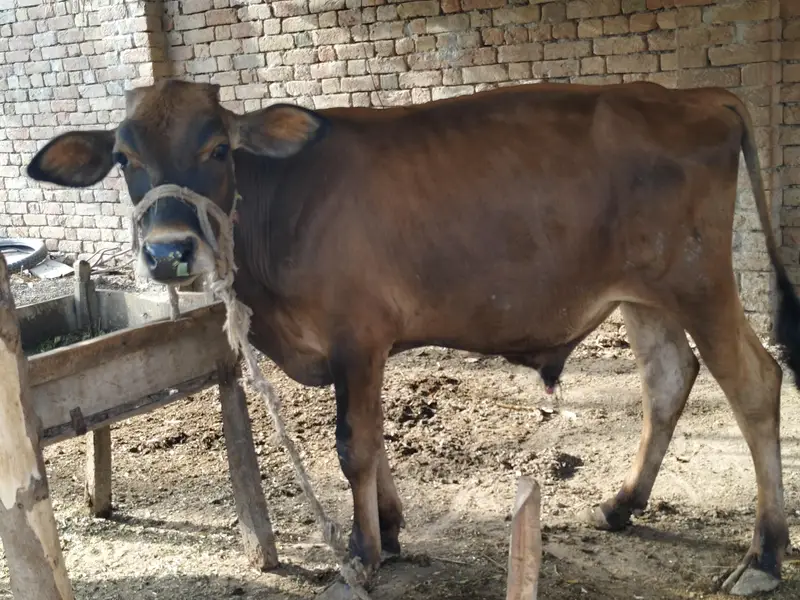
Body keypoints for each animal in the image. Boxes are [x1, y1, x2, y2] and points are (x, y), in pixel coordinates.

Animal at [26, 78, 800, 596]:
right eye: (125, 158)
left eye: (218, 147)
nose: (167, 253)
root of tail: (690, 93)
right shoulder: (357, 349)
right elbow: (370, 437)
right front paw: (391, 530)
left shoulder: (357, 335)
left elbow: (354, 445)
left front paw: (362, 554)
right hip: (642, 296)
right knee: (668, 380)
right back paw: (622, 504)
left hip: (699, 283)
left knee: (755, 383)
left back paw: (763, 555)